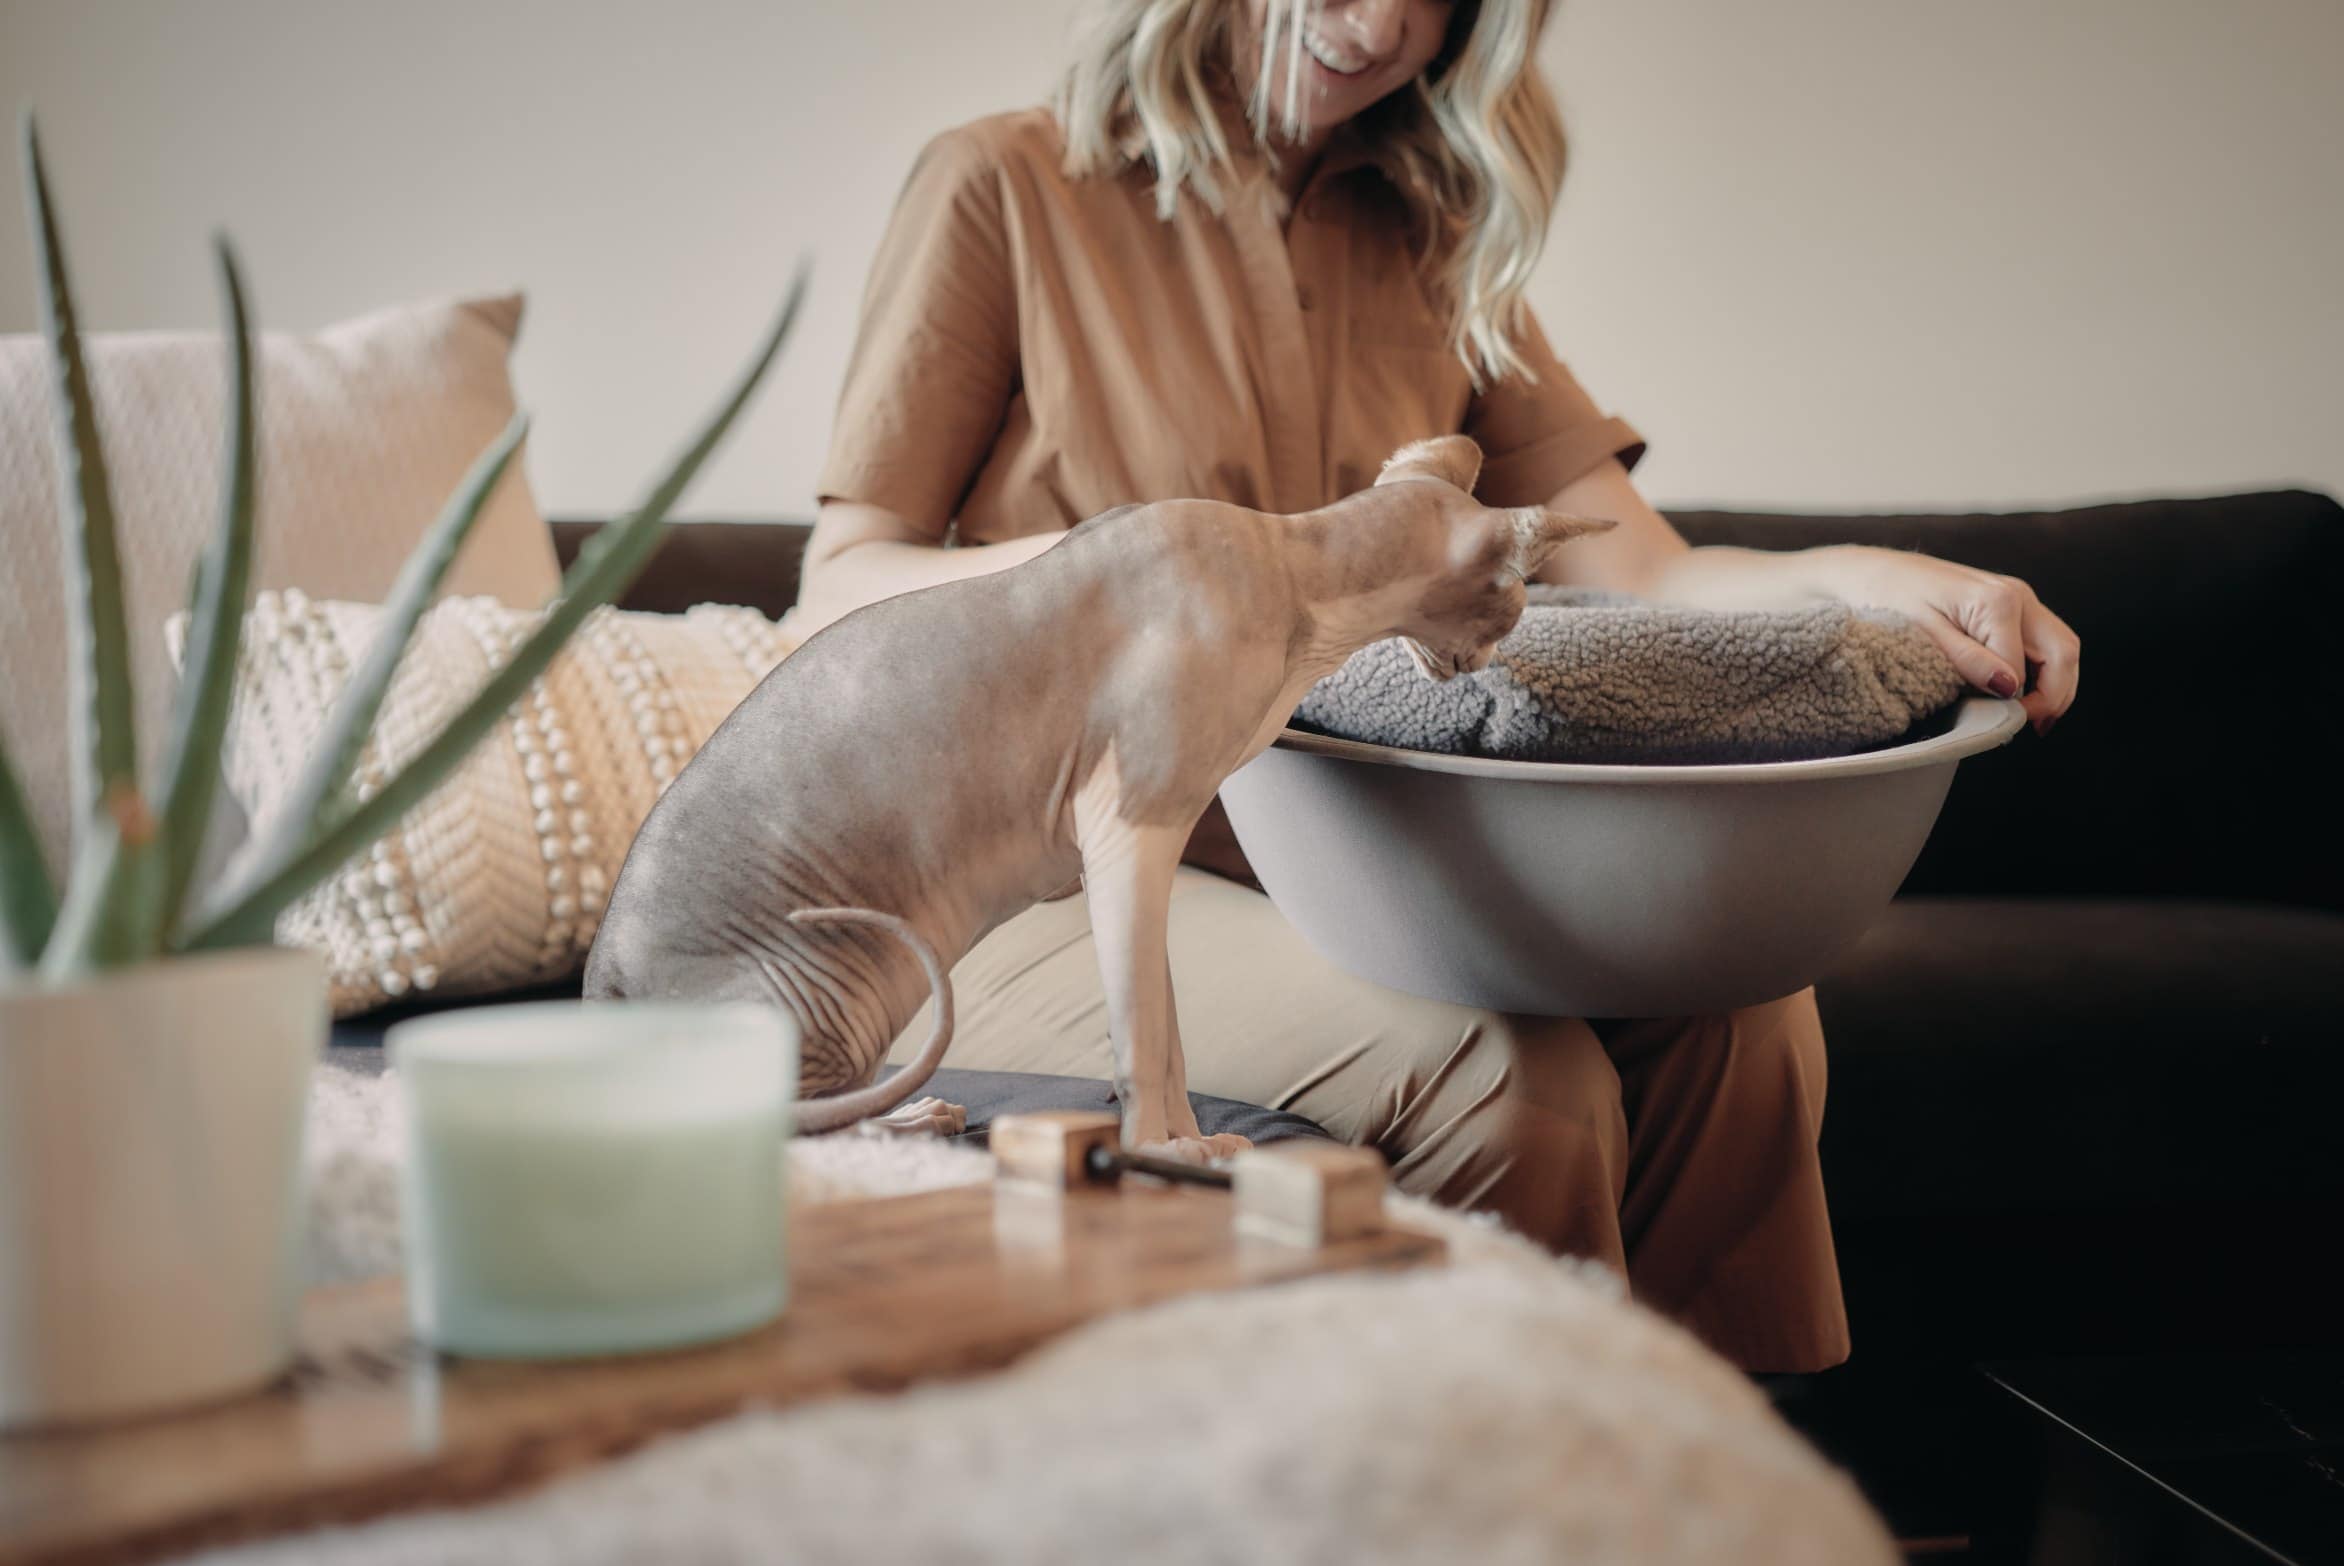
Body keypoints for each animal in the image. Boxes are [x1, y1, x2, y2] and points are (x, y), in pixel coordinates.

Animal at [583, 433, 1612, 1158]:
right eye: (1518, 605)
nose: (1475, 666)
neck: (1289, 562)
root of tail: (596, 993)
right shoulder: (1130, 824)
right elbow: (1141, 1030)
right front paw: (1165, 1151)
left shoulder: (1131, 850)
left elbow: (1166, 1019)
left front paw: (1190, 1140)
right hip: (824, 984)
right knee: (804, 1136)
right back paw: (912, 1123)